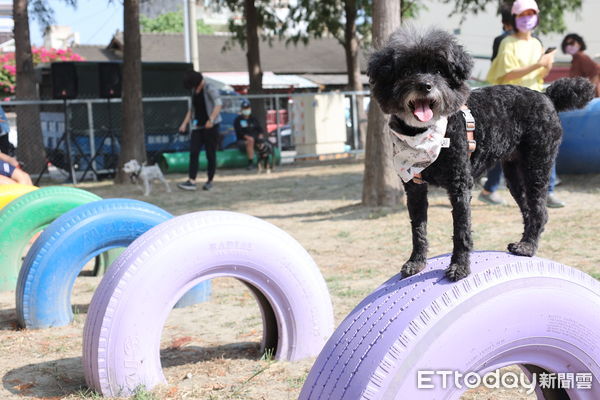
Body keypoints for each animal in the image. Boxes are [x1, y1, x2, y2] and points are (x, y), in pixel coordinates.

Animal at [368, 27, 592, 282]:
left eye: (438, 71)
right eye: (405, 71)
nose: (425, 85)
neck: (424, 135)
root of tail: (547, 96)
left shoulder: (460, 186)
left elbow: (461, 230)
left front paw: (459, 267)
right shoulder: (414, 187)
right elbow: (418, 228)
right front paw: (416, 262)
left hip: (537, 165)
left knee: (539, 210)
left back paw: (528, 247)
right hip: (515, 175)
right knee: (528, 209)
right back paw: (523, 242)